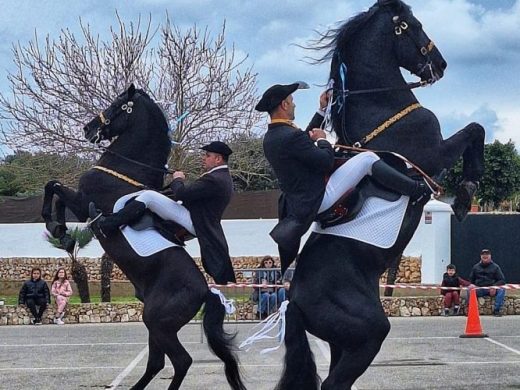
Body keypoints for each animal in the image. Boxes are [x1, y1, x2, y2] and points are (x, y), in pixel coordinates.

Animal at [41, 85, 245, 390]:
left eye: (117, 104)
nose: (89, 128)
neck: (125, 172)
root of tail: (206, 291)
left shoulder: (83, 201)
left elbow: (53, 187)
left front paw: (59, 229)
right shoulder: (80, 202)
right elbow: (54, 188)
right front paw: (62, 233)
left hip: (158, 323)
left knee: (181, 361)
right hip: (154, 325)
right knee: (156, 363)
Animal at [278, 0, 486, 390]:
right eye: (415, 25)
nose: (440, 65)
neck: (382, 109)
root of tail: (294, 302)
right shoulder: (435, 153)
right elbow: (475, 130)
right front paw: (467, 193)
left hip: (343, 344)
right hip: (368, 336)